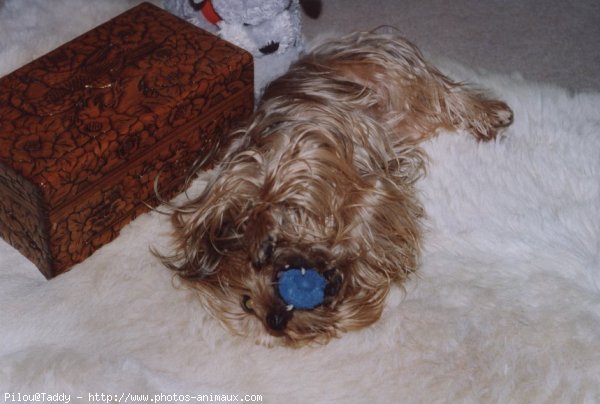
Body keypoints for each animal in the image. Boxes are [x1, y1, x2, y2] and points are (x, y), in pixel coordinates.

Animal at [158, 30, 510, 348]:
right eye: (247, 304)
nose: (275, 321)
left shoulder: (310, 157)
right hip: (408, 118)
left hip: (386, 67)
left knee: (441, 91)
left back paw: (489, 114)